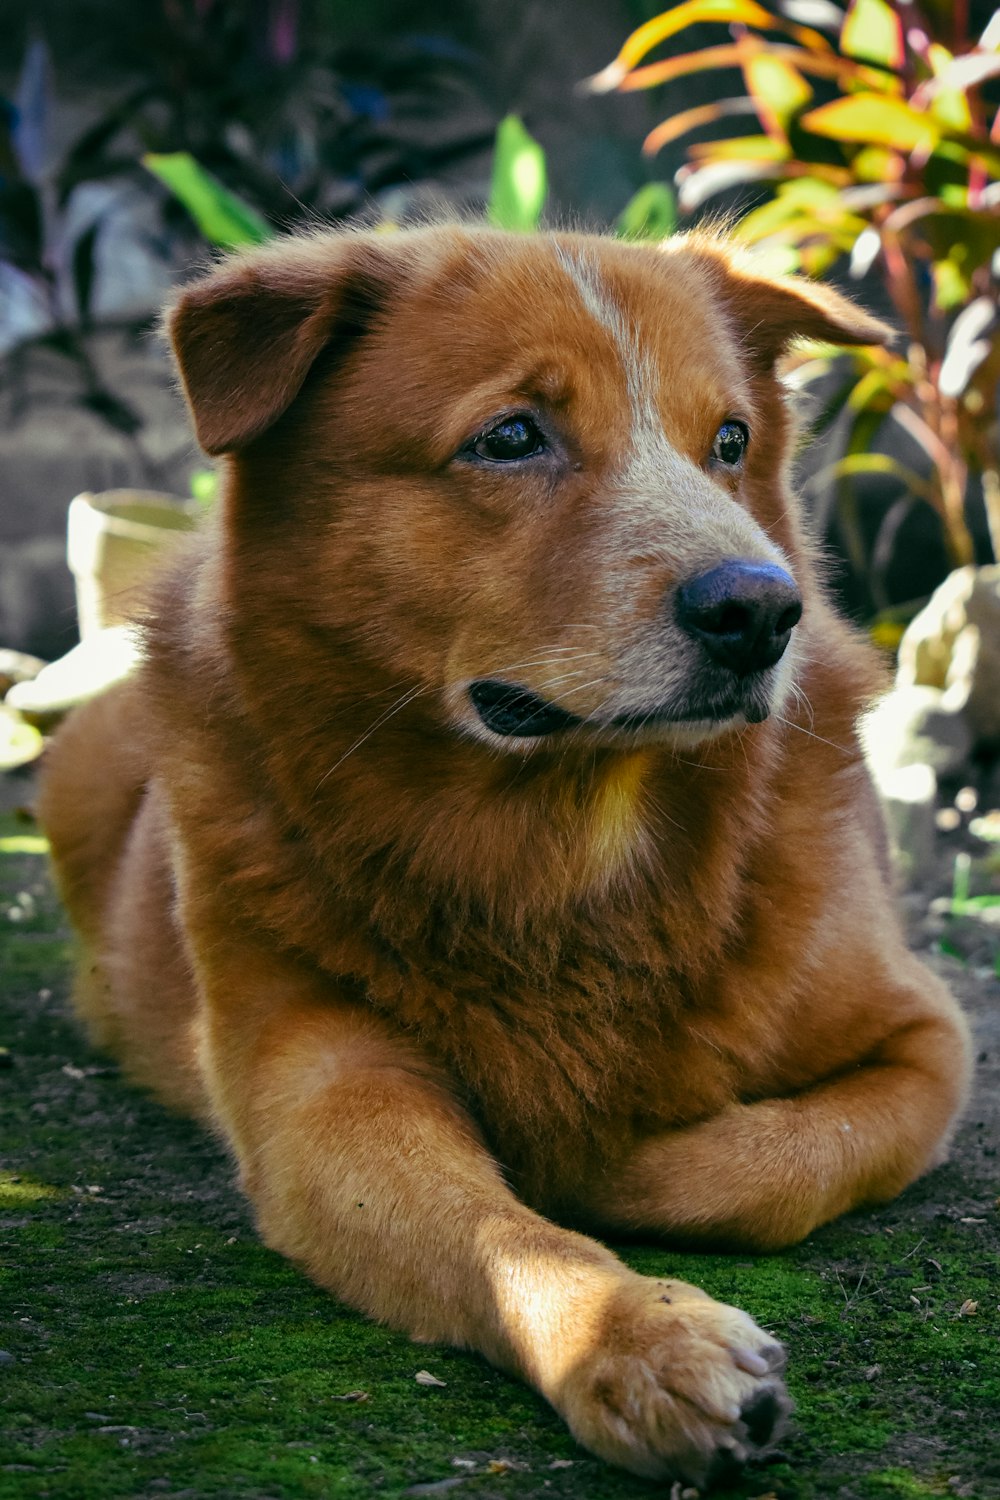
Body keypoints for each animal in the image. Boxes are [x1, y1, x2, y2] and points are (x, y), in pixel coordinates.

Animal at [39, 225, 971, 1488]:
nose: (759, 613)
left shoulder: (927, 1042)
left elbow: (766, 1167)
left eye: (729, 442)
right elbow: (497, 1234)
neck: (567, 843)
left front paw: (590, 1167)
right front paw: (634, 1339)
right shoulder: (323, 1098)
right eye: (512, 437)